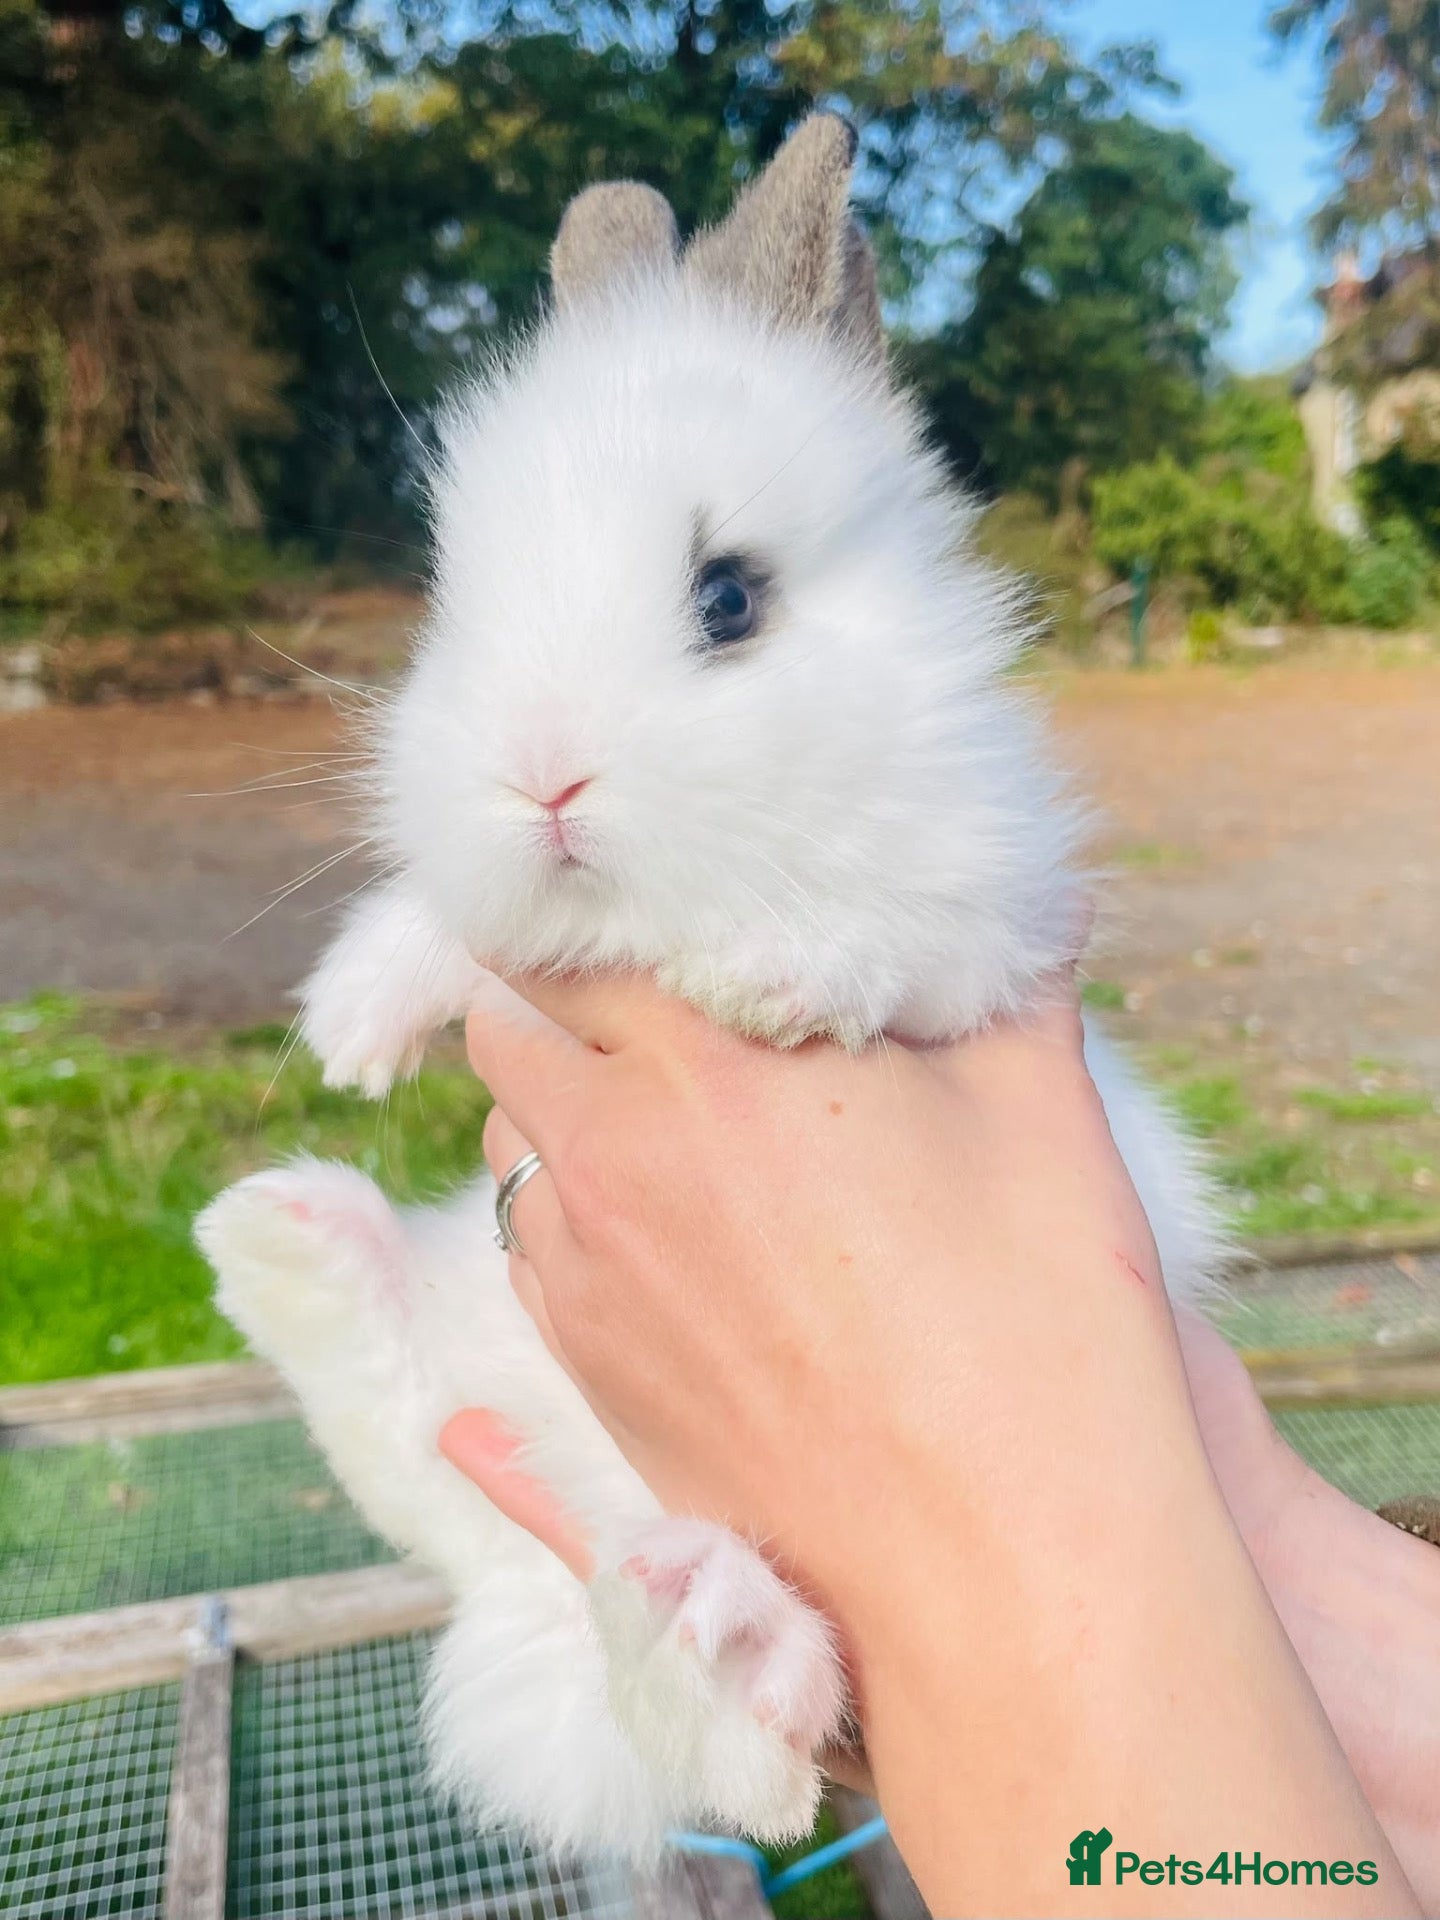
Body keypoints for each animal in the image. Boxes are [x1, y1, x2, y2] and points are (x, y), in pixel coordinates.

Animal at [196, 113, 1226, 1862]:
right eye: (458, 601)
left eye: (730, 597)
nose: (541, 780)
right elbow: (454, 926)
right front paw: (355, 1028)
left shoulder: (993, 922)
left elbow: (896, 942)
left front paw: (770, 973)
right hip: (475, 1410)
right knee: (412, 1445)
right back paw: (295, 1247)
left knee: (743, 1745)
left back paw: (717, 1642)